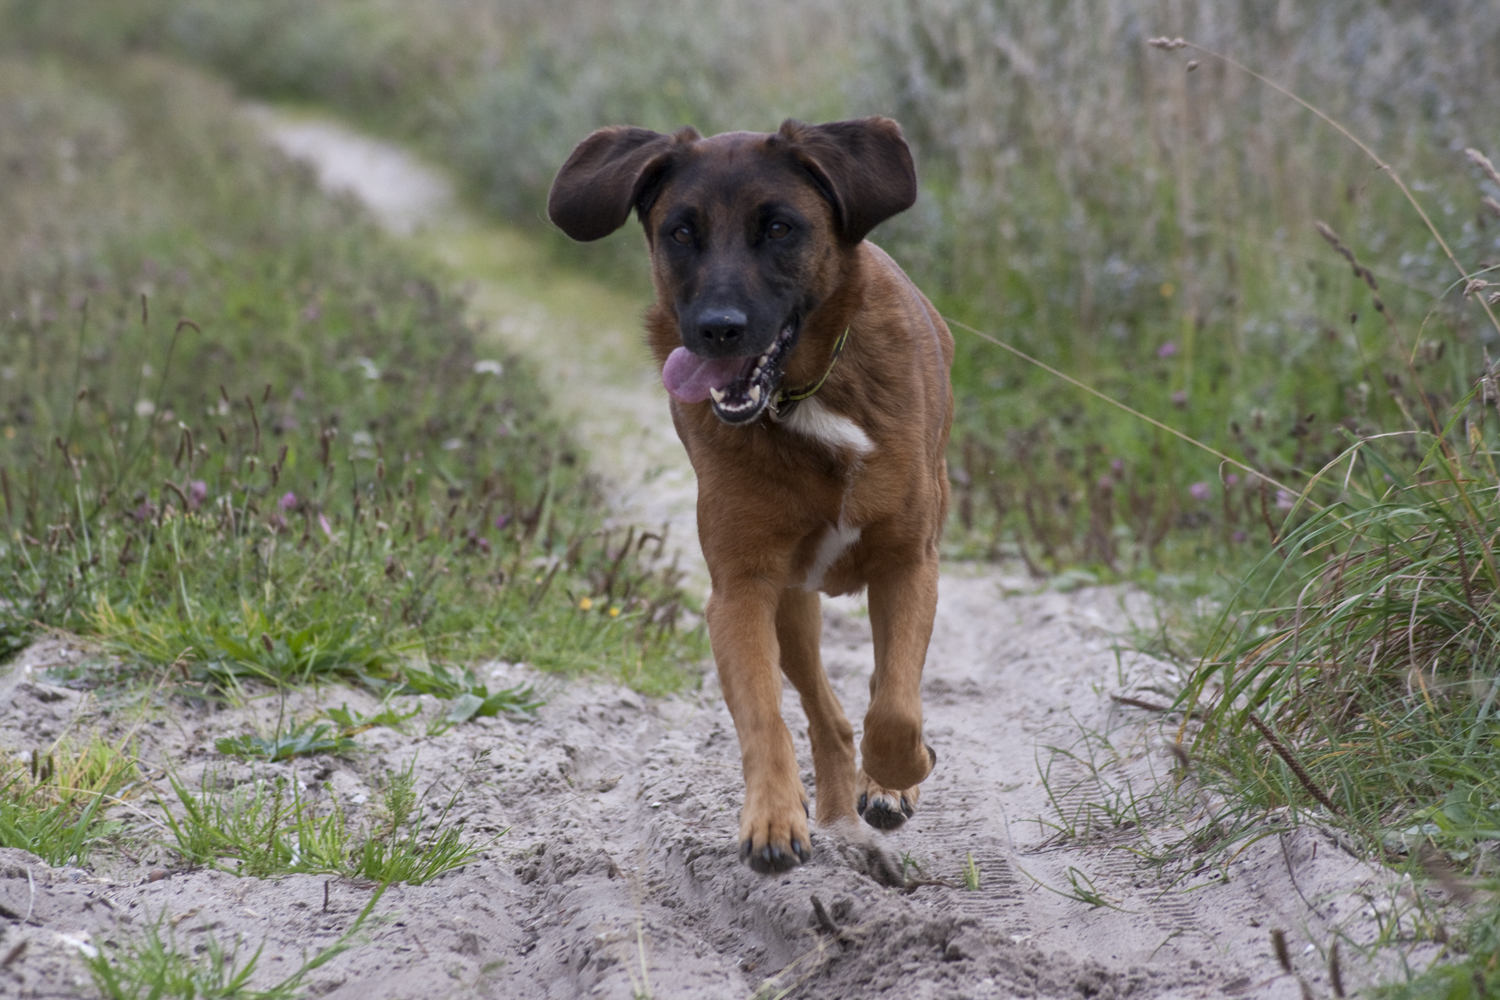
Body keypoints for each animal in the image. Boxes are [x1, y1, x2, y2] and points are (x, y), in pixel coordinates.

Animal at [549, 115, 948, 869]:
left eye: (779, 227)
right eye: (681, 231)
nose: (718, 328)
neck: (805, 398)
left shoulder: (909, 561)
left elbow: (895, 706)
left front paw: (899, 775)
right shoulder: (741, 589)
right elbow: (765, 714)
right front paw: (772, 817)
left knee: (878, 689)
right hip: (792, 606)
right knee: (825, 714)